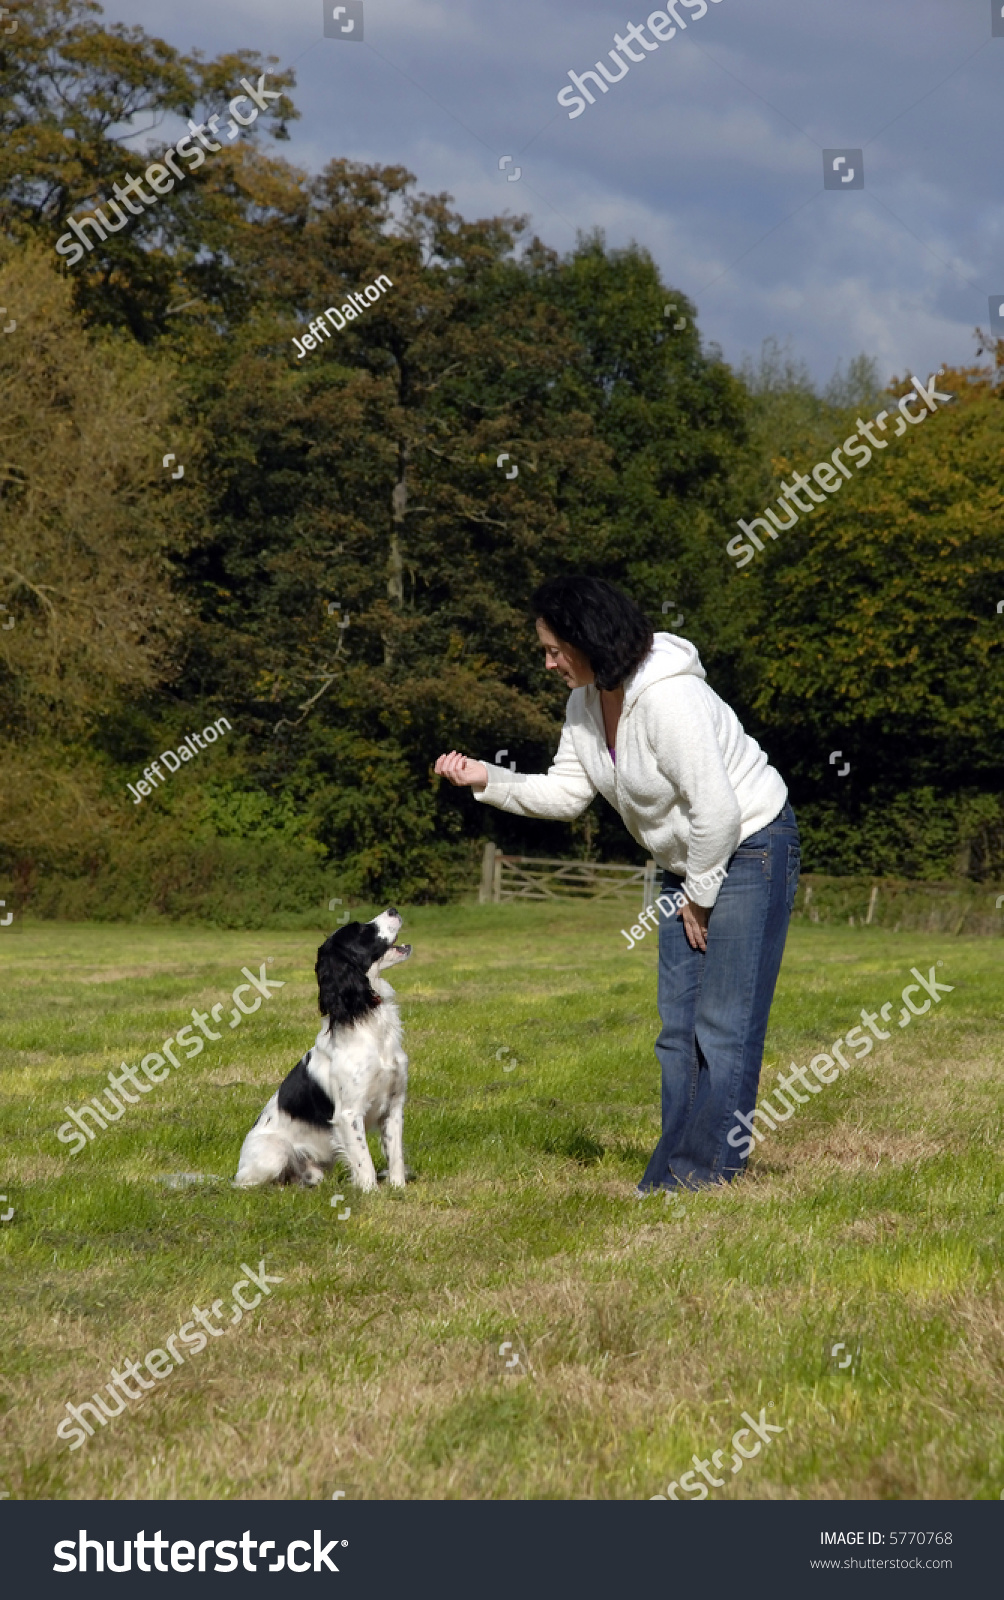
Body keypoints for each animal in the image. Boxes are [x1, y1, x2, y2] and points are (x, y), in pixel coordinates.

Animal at [233, 915, 409, 1190]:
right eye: (361, 930)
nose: (393, 910)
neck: (365, 1017)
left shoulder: (394, 1105)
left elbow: (395, 1155)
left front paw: (398, 1188)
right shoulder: (349, 1114)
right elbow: (364, 1162)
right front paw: (371, 1192)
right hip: (274, 1153)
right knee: (246, 1184)